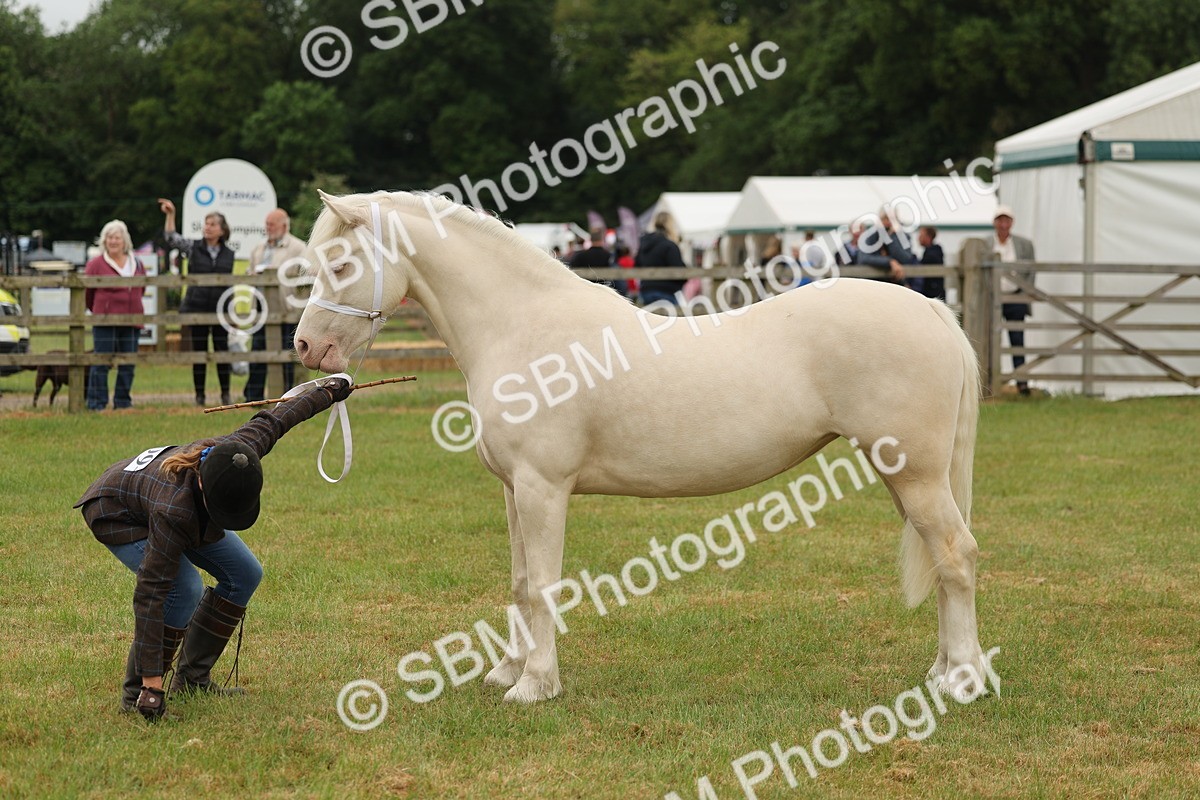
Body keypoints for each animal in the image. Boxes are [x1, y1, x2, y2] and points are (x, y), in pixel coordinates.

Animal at [294, 190, 987, 704]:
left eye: (342, 264)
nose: (305, 348)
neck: (523, 327)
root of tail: (931, 309)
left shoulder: (544, 487)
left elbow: (543, 584)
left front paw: (535, 685)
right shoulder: (514, 490)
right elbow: (519, 581)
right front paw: (507, 671)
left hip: (918, 476)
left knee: (956, 555)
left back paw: (963, 682)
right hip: (903, 476)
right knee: (942, 558)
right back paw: (941, 671)